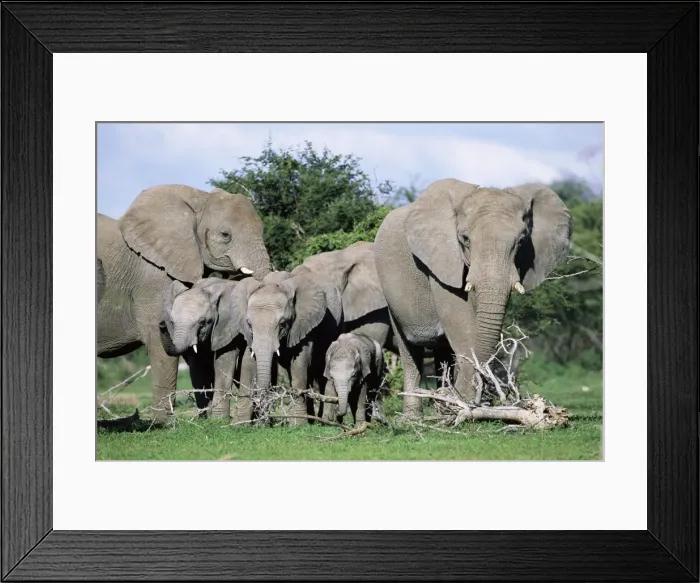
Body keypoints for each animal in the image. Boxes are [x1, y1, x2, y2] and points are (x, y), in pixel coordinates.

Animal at [160, 277, 254, 420]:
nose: (161, 324)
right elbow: (197, 367)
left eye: (202, 322)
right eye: (172, 322)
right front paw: (204, 418)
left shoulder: (228, 326)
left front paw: (218, 419)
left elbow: (224, 362)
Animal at [231, 270, 342, 425]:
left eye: (282, 324)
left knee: (322, 375)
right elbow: (248, 363)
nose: (262, 421)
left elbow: (299, 363)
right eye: (249, 324)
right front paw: (240, 424)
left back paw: (324, 421)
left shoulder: (303, 323)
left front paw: (298, 424)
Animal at [373, 179, 572, 418]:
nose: (479, 398)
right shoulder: (443, 260)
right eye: (465, 239)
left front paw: (465, 403)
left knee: (443, 352)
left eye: (522, 241)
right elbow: (460, 319)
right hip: (390, 291)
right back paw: (416, 415)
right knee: (410, 350)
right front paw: (466, 402)